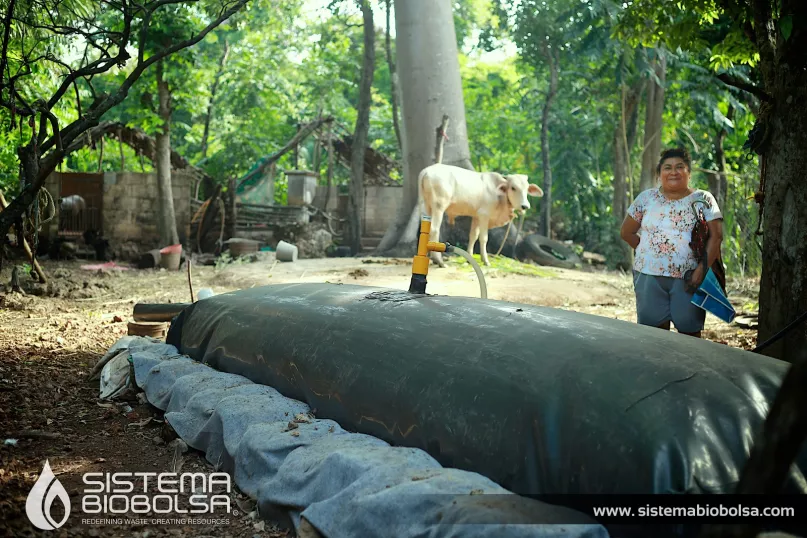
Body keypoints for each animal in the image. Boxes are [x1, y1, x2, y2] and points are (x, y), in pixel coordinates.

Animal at [420, 161, 548, 266]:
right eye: (513, 188)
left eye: (527, 189)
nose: (525, 206)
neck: (499, 196)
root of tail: (426, 171)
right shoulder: (484, 215)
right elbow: (483, 238)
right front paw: (485, 261)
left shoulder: (476, 216)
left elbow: (473, 236)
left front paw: (469, 258)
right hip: (439, 206)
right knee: (434, 229)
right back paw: (439, 260)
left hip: (428, 206)